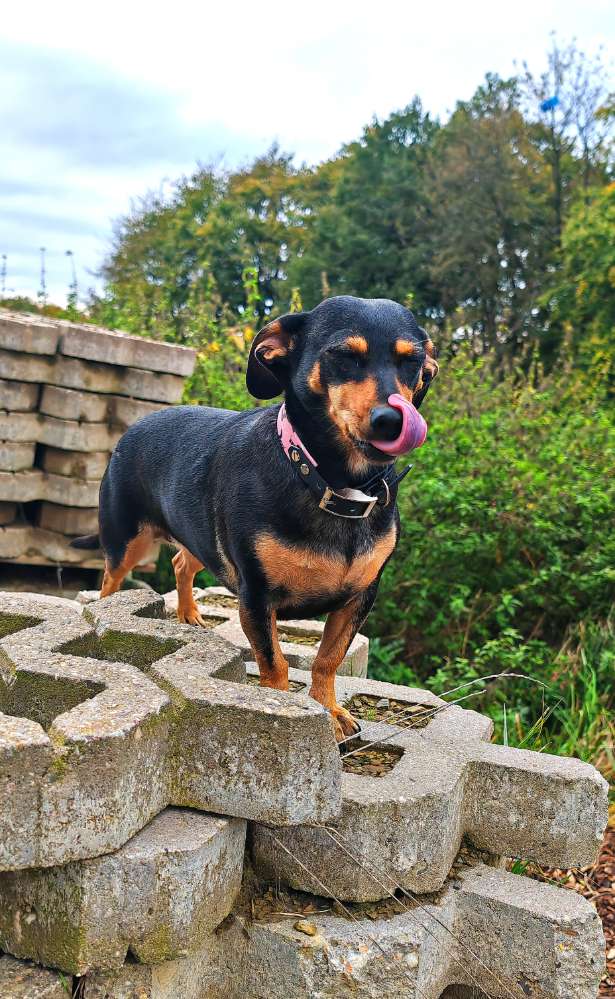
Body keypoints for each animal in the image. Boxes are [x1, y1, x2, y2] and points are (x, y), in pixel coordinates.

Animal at [72, 292, 438, 740]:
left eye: (412, 361)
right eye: (343, 356)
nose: (392, 421)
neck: (327, 481)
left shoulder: (360, 596)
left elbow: (328, 658)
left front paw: (329, 710)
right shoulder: (256, 596)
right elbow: (274, 661)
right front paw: (281, 708)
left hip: (201, 538)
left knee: (180, 563)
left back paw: (188, 614)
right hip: (127, 540)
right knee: (111, 579)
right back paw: (113, 608)